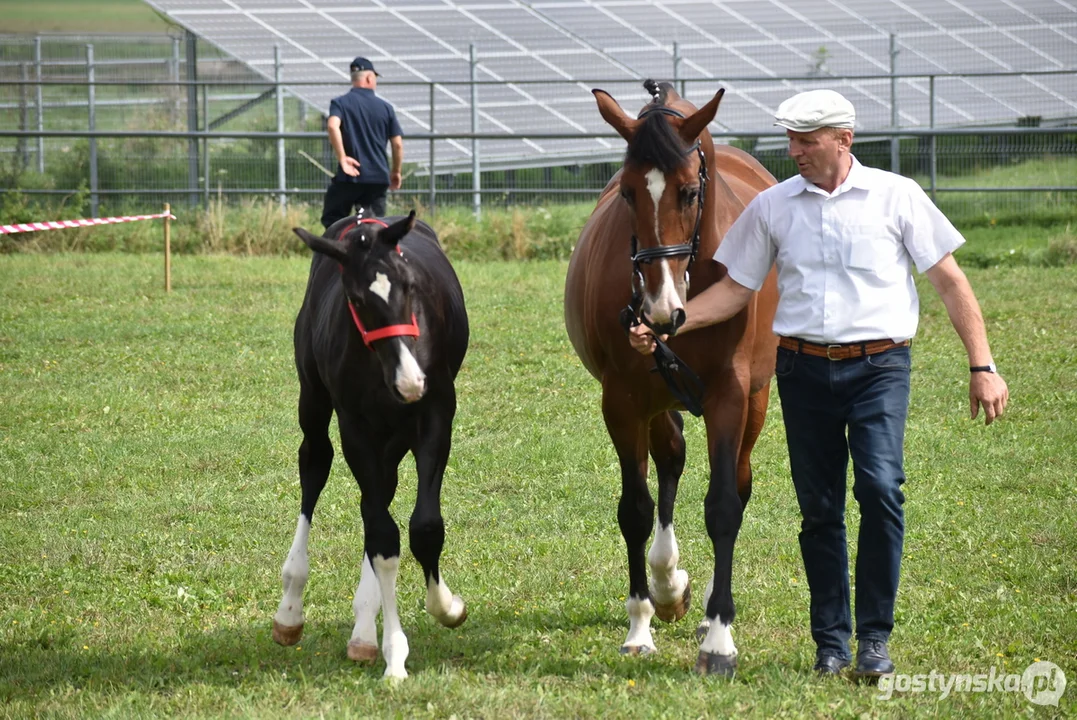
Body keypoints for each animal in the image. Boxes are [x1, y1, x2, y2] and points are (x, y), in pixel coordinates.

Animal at [271, 210, 469, 675]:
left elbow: (423, 526)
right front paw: (395, 654)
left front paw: (448, 607)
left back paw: (363, 628)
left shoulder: (435, 416)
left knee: (377, 497)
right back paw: (292, 610)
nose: (410, 380)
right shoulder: (356, 429)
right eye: (357, 299)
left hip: (393, 436)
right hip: (315, 402)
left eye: (410, 285)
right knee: (315, 465)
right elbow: (383, 536)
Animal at [564, 81, 775, 671]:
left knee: (738, 483)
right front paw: (641, 623)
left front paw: (719, 639)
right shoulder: (624, 400)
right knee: (671, 460)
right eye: (628, 194)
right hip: (658, 399)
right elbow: (635, 510)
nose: (660, 310)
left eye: (688, 192)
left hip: (754, 400)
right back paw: (668, 585)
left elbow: (724, 507)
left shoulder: (730, 394)